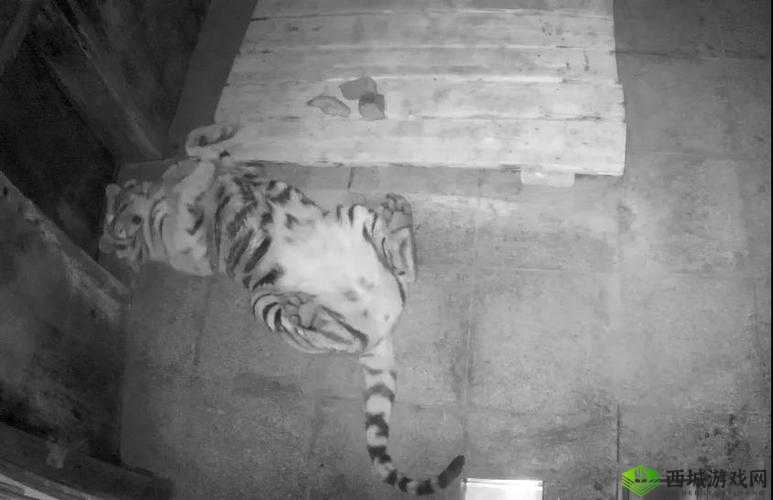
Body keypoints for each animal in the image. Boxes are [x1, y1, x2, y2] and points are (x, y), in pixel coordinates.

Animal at [99, 123, 465, 495]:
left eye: (118, 212)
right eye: (115, 224)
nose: (122, 226)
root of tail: (381, 332)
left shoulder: (245, 171)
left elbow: (202, 152)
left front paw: (206, 143)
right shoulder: (190, 245)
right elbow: (190, 189)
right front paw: (193, 169)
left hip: (354, 217)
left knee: (406, 265)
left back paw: (398, 211)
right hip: (265, 302)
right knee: (323, 329)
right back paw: (304, 309)